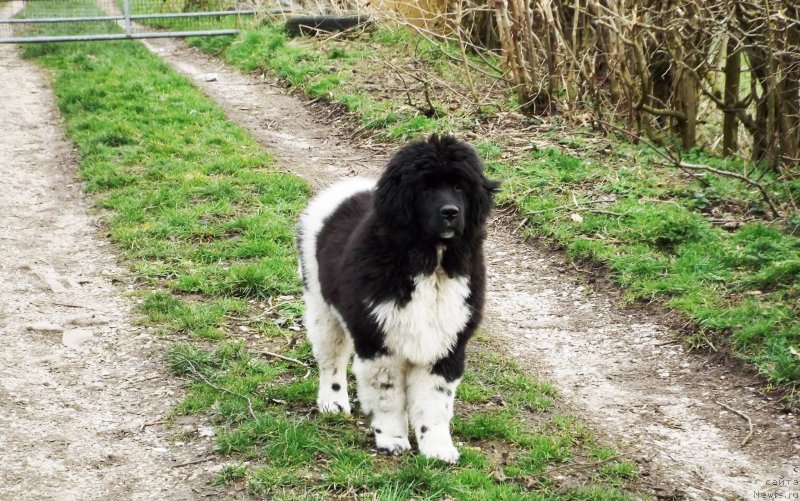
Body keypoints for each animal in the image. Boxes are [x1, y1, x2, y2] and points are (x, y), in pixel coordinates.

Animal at [296, 135, 496, 462]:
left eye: (459, 187)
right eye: (425, 188)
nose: (450, 212)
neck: (430, 264)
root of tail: (344, 189)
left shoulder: (446, 345)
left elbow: (435, 403)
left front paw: (438, 448)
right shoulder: (380, 341)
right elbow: (387, 396)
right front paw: (392, 439)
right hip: (320, 306)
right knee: (331, 360)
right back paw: (333, 402)